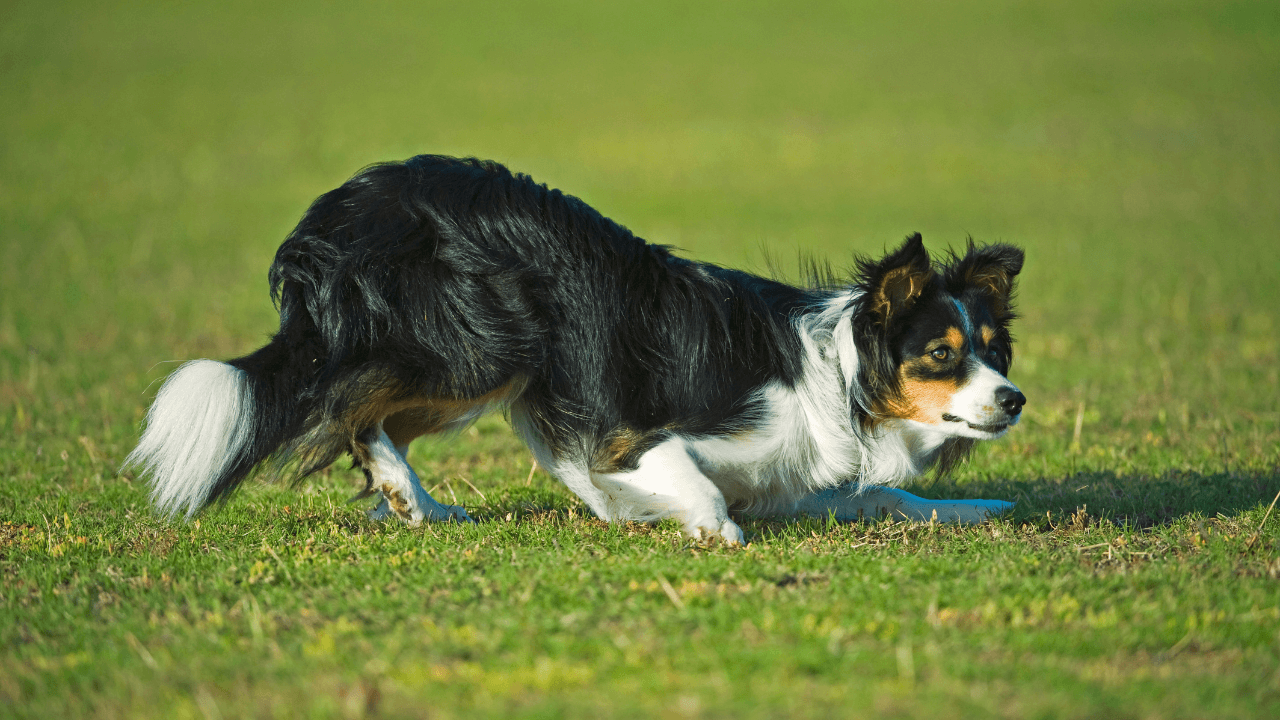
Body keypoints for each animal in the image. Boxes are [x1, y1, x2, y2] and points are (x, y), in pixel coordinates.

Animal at [124, 154, 1024, 540]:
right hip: (485, 347)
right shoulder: (629, 434)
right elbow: (690, 479)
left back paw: (420, 503)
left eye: (995, 353)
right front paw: (709, 532)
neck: (843, 374)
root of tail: (345, 205)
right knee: (348, 406)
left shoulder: (792, 477)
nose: (1014, 401)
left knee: (370, 416)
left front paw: (977, 508)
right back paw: (407, 493)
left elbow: (893, 496)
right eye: (941, 354)